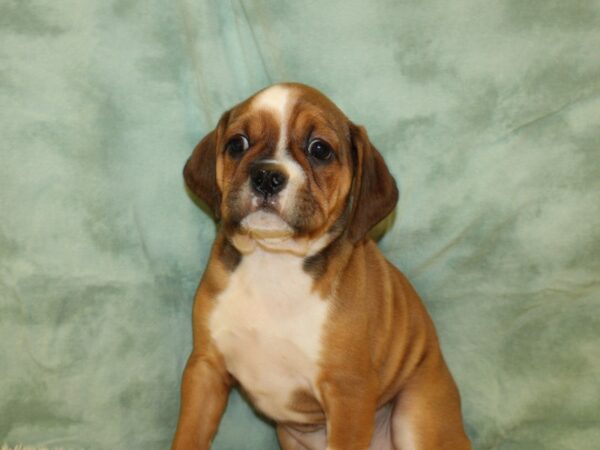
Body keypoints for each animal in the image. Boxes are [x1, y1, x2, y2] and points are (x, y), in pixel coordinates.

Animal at [171, 82, 472, 448]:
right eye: (237, 144)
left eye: (319, 149)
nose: (267, 176)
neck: (273, 262)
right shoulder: (206, 368)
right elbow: (188, 436)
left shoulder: (348, 392)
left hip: (417, 416)